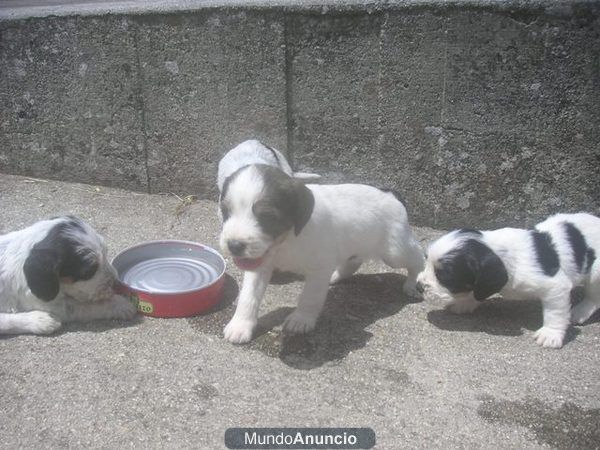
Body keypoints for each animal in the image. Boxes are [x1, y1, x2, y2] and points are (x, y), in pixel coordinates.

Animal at [0, 216, 137, 336]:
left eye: (106, 253)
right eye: (89, 271)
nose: (117, 285)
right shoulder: (46, 303)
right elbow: (84, 306)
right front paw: (120, 304)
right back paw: (41, 321)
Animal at [218, 163, 424, 342]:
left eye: (267, 216)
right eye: (226, 211)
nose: (234, 245)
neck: (287, 240)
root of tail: (390, 194)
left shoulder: (319, 269)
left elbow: (310, 297)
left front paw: (301, 319)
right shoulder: (260, 264)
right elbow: (248, 296)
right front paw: (241, 324)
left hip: (395, 251)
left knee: (418, 255)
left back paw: (413, 283)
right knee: (354, 261)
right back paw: (336, 276)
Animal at [418, 214, 600, 348]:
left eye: (444, 276)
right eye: (425, 261)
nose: (419, 286)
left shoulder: (555, 287)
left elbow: (555, 312)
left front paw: (550, 334)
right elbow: (476, 293)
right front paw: (463, 303)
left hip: (595, 274)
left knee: (593, 297)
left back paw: (580, 311)